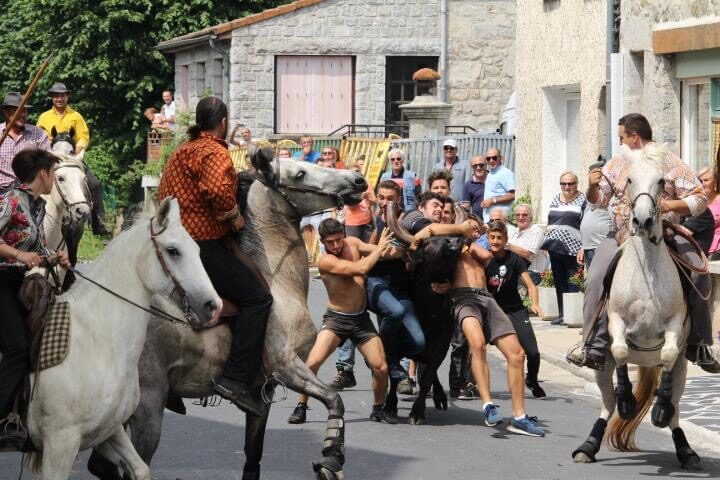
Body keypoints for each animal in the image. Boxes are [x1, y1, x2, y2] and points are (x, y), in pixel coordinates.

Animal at [25, 197, 219, 478]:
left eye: (196, 249)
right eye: (173, 251)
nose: (213, 306)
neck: (97, 341)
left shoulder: (109, 430)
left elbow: (139, 468)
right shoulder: (60, 443)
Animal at [88, 147, 366, 480]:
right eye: (300, 174)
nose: (357, 180)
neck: (276, 279)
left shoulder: (262, 390)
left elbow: (253, 454)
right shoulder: (286, 366)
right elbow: (334, 399)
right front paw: (331, 459)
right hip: (149, 407)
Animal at [572, 144, 704, 470]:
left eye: (661, 181)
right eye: (629, 179)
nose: (642, 221)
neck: (646, 270)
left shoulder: (674, 324)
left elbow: (667, 354)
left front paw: (659, 408)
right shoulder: (617, 320)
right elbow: (620, 351)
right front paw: (627, 401)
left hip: (682, 368)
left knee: (675, 411)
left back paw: (686, 450)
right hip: (601, 367)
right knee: (607, 405)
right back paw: (588, 445)